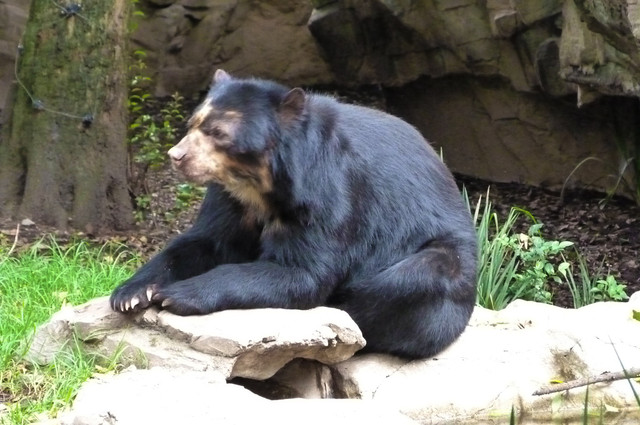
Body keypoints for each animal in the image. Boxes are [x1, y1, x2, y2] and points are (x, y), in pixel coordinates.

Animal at [110, 69, 477, 359]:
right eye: (193, 124)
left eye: (218, 132)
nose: (176, 155)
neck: (260, 185)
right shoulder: (230, 197)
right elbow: (204, 242)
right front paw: (131, 294)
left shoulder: (330, 191)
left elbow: (302, 271)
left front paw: (177, 295)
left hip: (446, 266)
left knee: (413, 279)